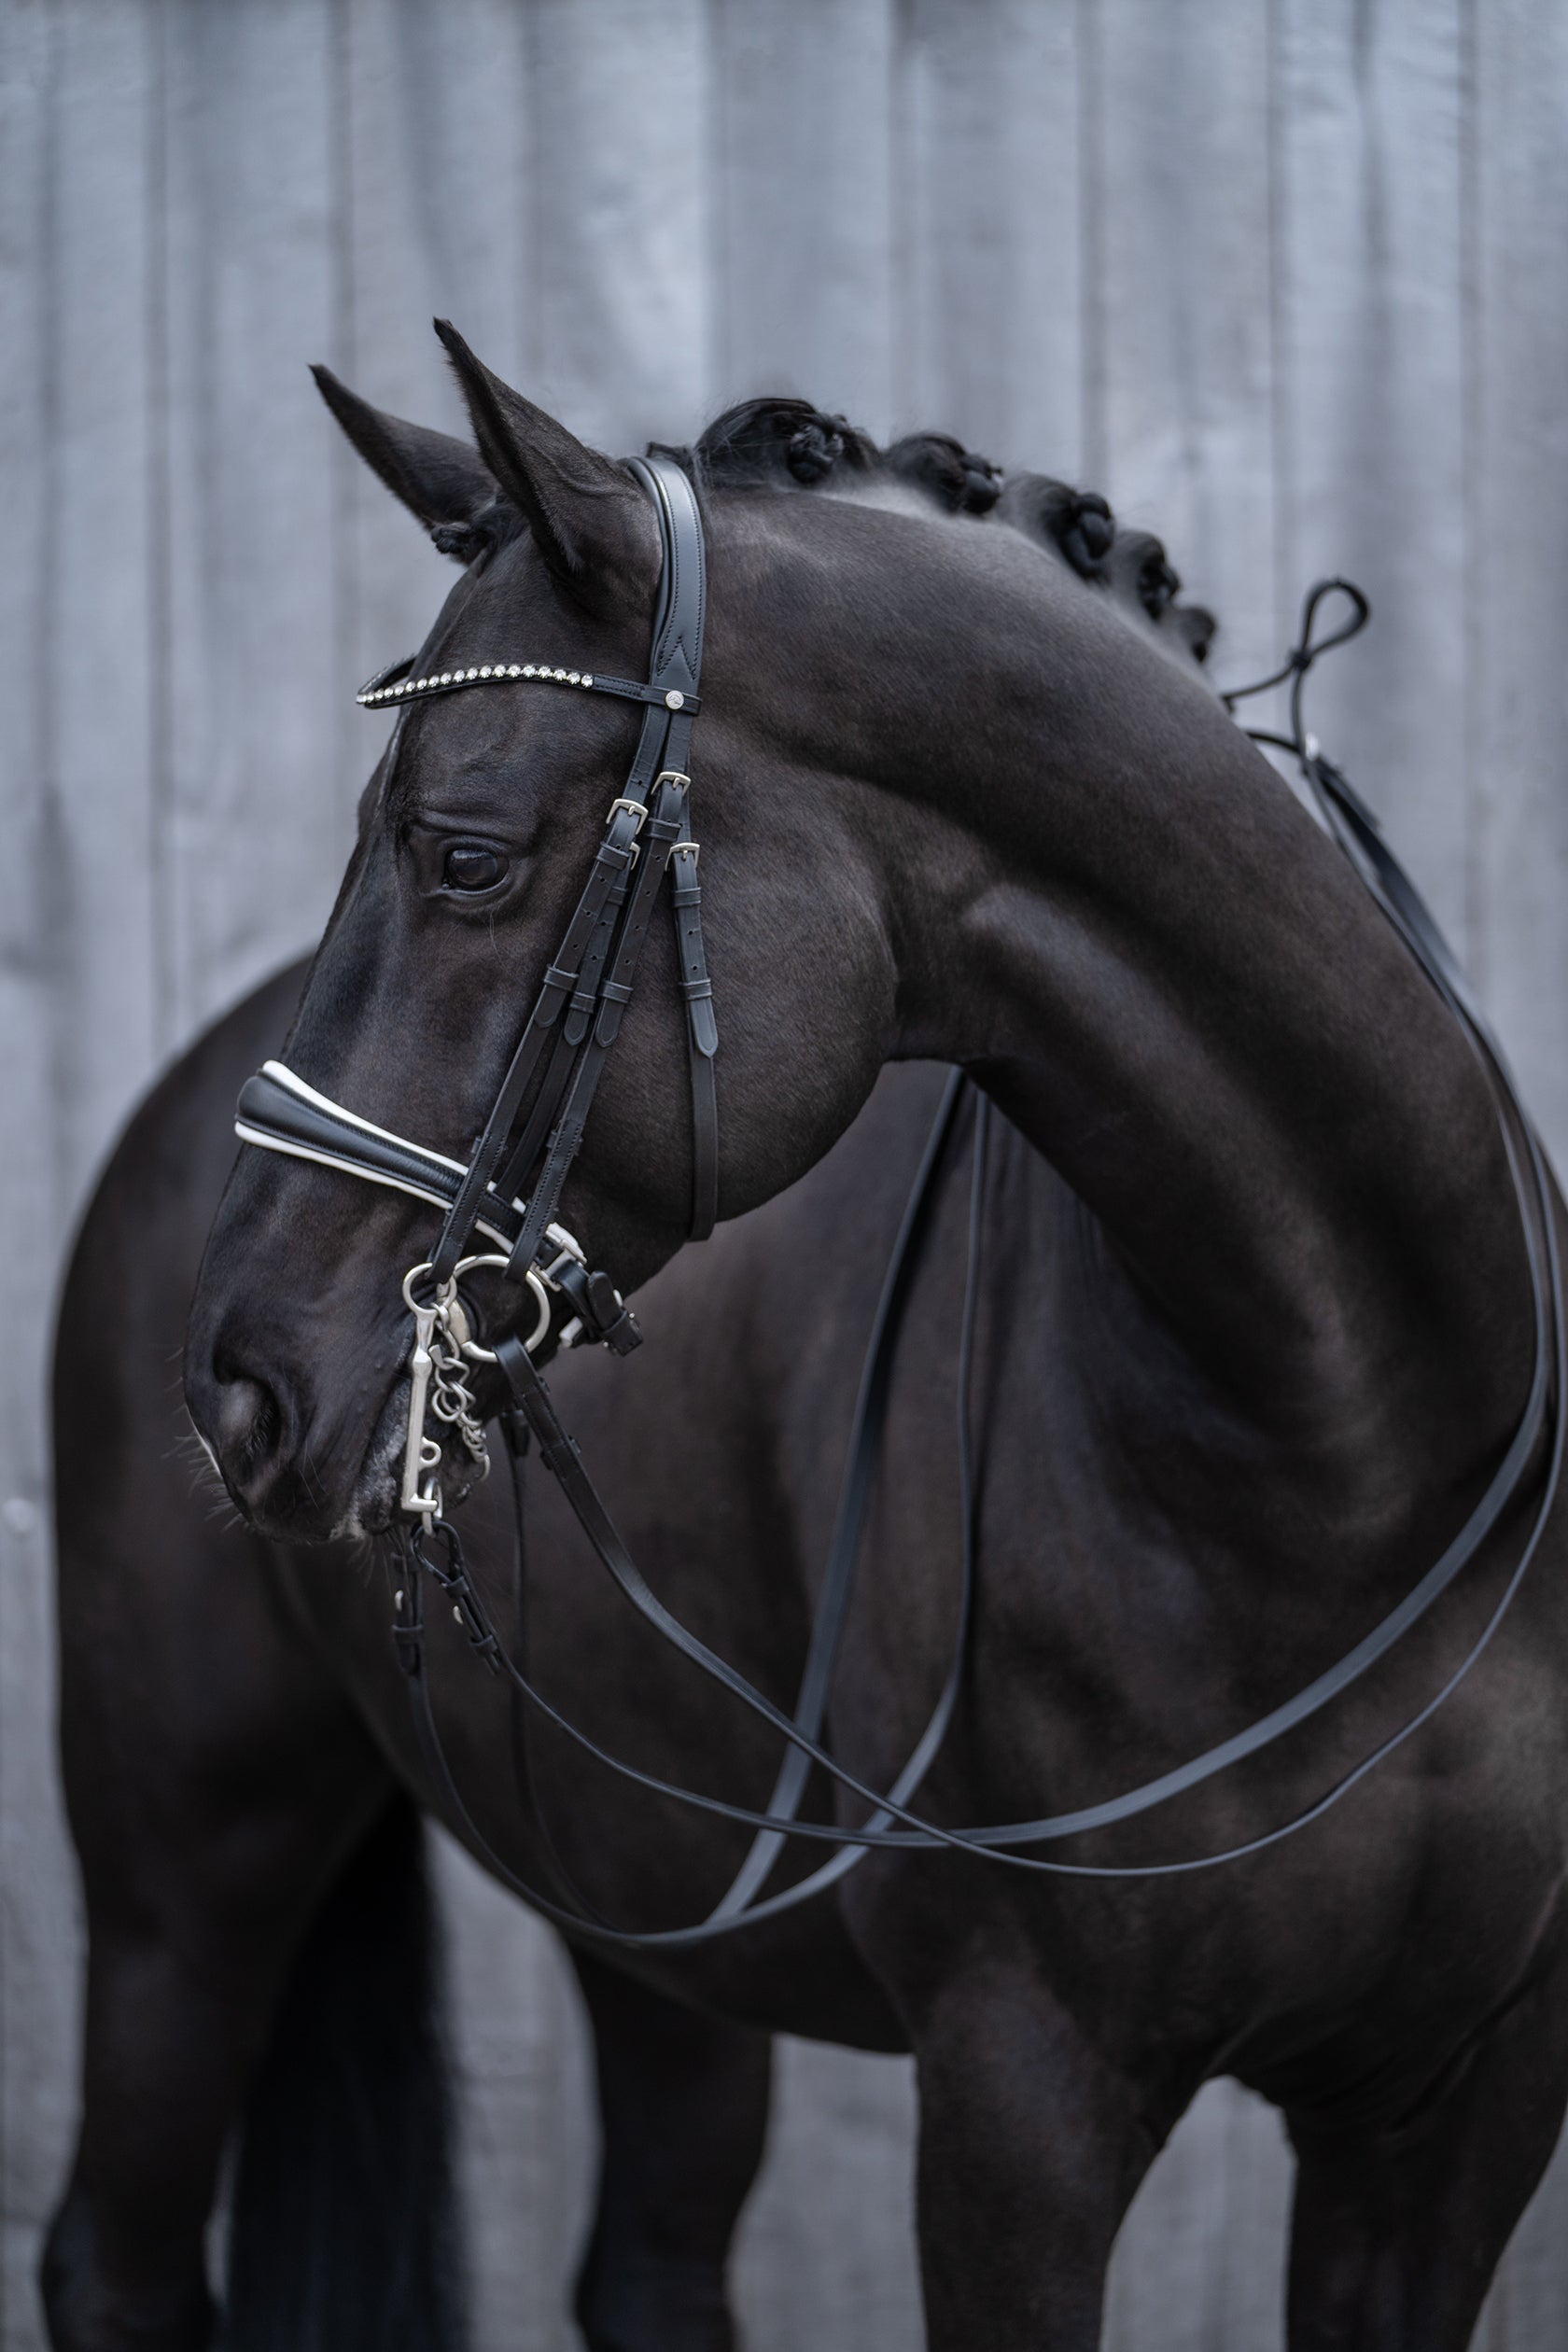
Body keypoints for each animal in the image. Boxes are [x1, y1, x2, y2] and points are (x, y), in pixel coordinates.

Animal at [46, 324, 1567, 2352]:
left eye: (462, 856)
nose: (240, 1385)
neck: (1354, 1449)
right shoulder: (1024, 2086)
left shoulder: (1457, 2109)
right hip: (185, 1871)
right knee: (120, 2259)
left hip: (645, 1907)